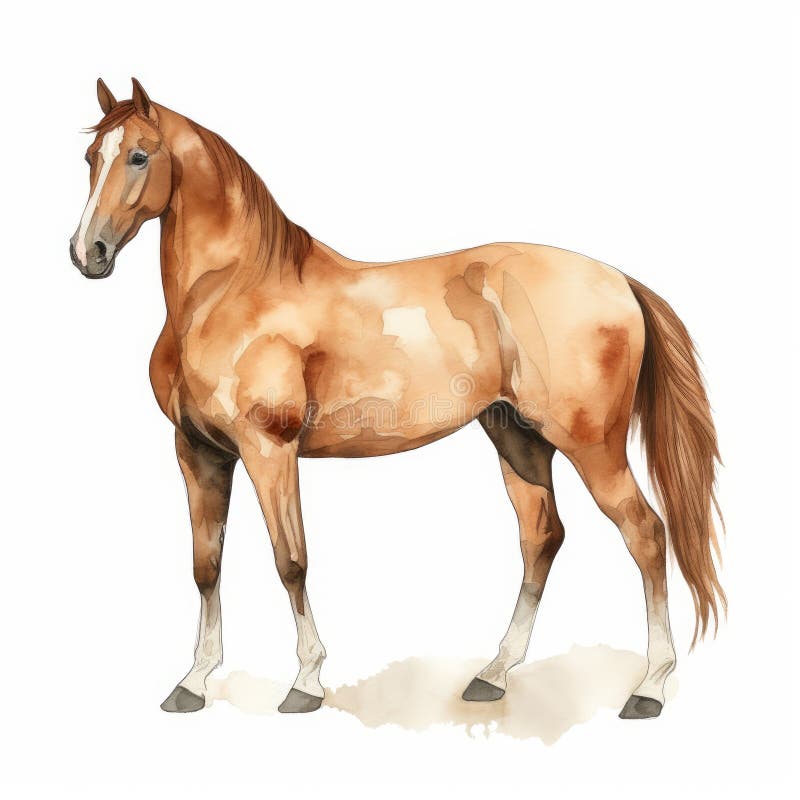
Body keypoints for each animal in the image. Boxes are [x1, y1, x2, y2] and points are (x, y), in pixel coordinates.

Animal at [70, 78, 724, 720]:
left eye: (139, 155)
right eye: (91, 156)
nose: (87, 253)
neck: (231, 293)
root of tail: (619, 281)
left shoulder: (269, 450)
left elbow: (290, 561)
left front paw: (305, 683)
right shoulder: (198, 453)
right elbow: (206, 566)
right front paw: (193, 683)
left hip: (591, 445)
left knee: (645, 533)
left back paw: (649, 688)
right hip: (517, 437)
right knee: (542, 538)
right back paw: (492, 676)